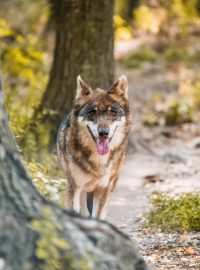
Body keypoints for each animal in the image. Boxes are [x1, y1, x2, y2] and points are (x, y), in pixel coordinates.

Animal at [56, 75, 131, 218]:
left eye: (113, 112)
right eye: (92, 112)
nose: (103, 133)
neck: (98, 160)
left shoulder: (103, 189)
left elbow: (97, 215)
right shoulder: (75, 187)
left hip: (112, 183)